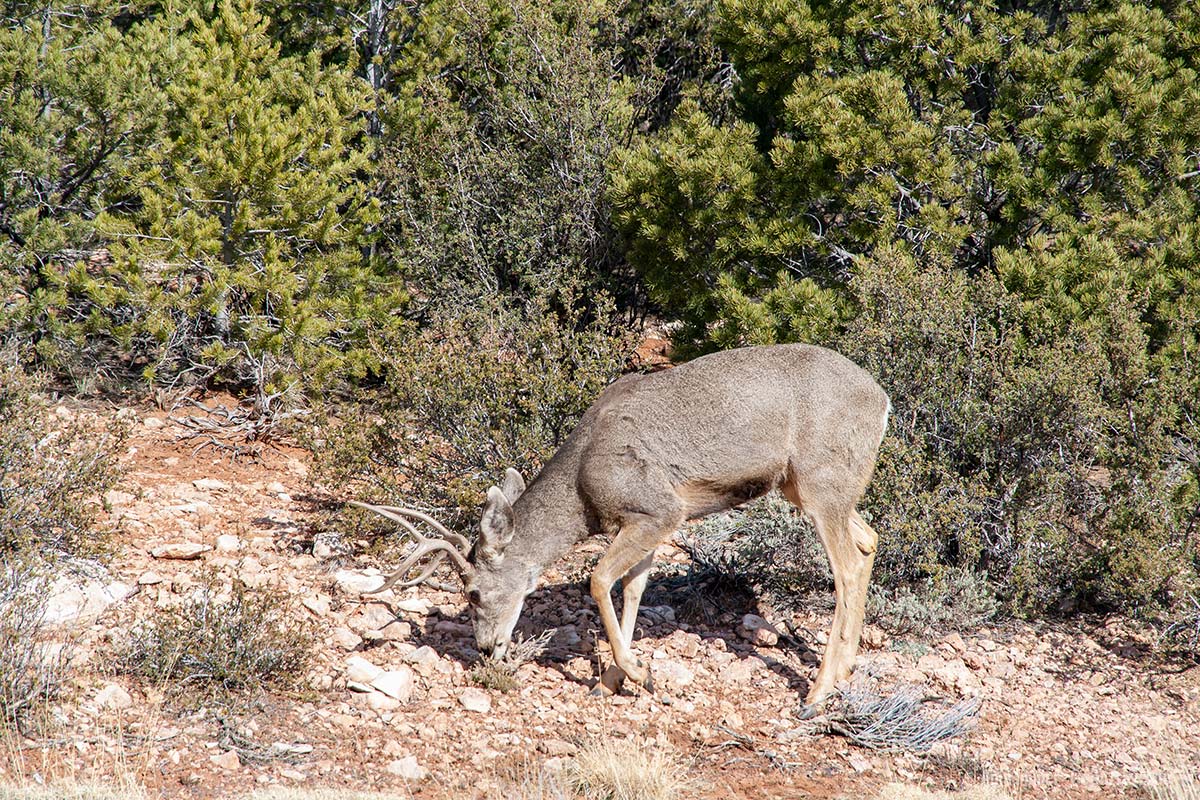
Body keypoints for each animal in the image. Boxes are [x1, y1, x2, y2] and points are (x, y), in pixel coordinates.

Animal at [350, 345, 888, 714]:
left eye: (474, 592)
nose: (486, 648)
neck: (583, 483)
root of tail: (882, 402)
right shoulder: (646, 521)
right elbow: (633, 588)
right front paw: (613, 678)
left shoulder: (658, 509)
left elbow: (598, 579)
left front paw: (637, 673)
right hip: (810, 486)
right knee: (869, 541)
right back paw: (846, 670)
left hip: (821, 480)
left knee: (845, 566)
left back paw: (817, 693)